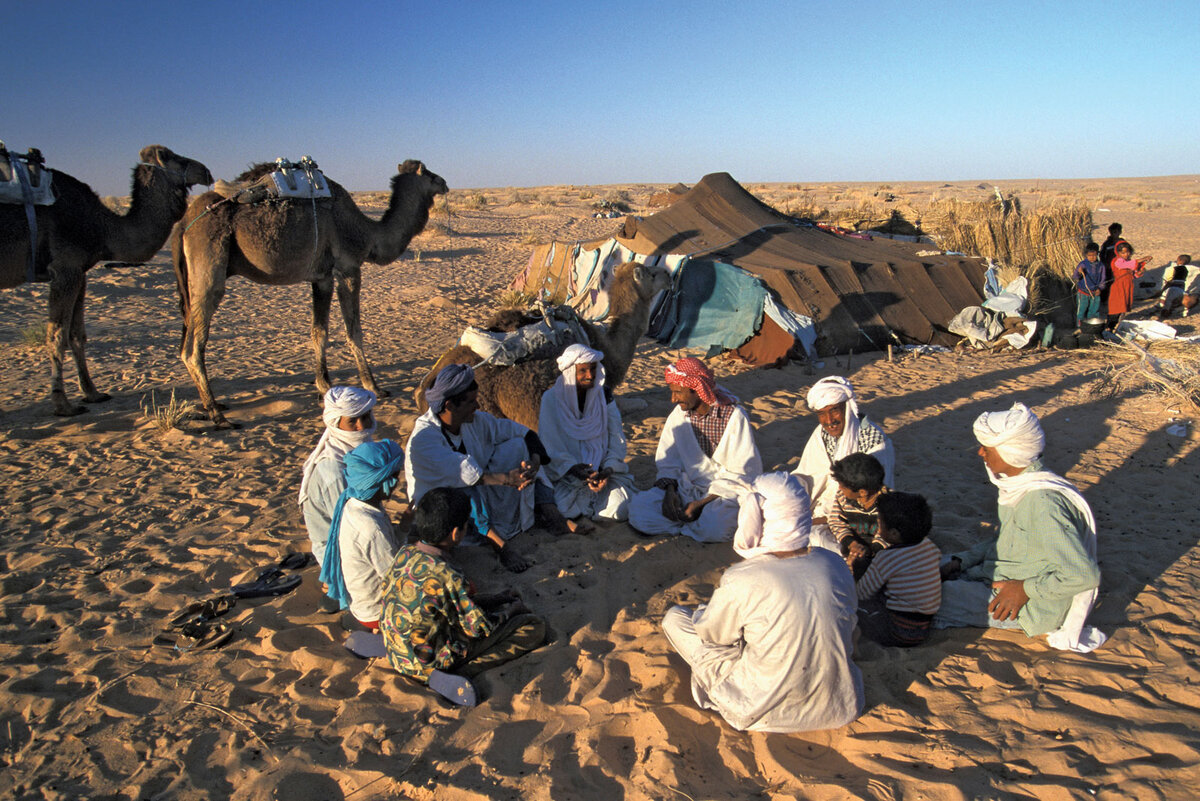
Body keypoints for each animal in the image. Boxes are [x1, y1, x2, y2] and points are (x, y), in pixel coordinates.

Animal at [0, 144, 213, 417]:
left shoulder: (80, 271)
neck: (102, 226)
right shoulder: (65, 268)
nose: (205, 171)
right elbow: (57, 336)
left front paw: (93, 393)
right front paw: (63, 404)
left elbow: (77, 334)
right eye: (173, 157)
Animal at [171, 158, 448, 429]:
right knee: (193, 347)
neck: (368, 234)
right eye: (430, 174)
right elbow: (354, 331)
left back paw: (214, 406)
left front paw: (323, 386)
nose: (445, 183)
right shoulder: (348, 269)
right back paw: (217, 415)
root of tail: (183, 223)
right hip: (208, 267)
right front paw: (374, 387)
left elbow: (319, 332)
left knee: (187, 338)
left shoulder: (322, 277)